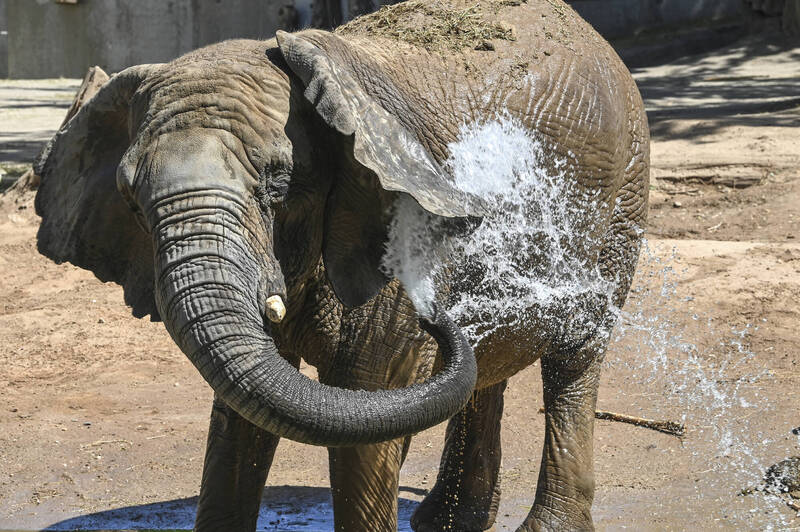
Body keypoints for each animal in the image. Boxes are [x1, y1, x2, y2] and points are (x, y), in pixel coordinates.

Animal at [34, 1, 648, 532]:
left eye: (278, 182)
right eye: (131, 201)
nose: (436, 315)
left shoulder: (402, 225)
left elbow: (367, 391)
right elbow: (243, 412)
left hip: (625, 192)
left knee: (575, 358)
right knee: (486, 364)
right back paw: (448, 521)